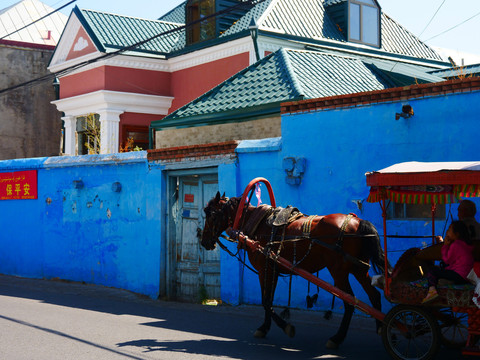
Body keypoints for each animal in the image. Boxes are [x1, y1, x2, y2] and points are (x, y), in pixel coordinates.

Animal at [201, 193, 388, 350]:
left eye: (211, 215)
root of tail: (357, 221)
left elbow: (265, 301)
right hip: (359, 268)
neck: (256, 225)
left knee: (350, 302)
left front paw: (286, 327)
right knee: (374, 296)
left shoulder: (264, 270)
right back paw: (381, 328)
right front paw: (264, 328)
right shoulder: (273, 270)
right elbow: (268, 300)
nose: (204, 242)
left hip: (339, 271)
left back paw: (337, 338)